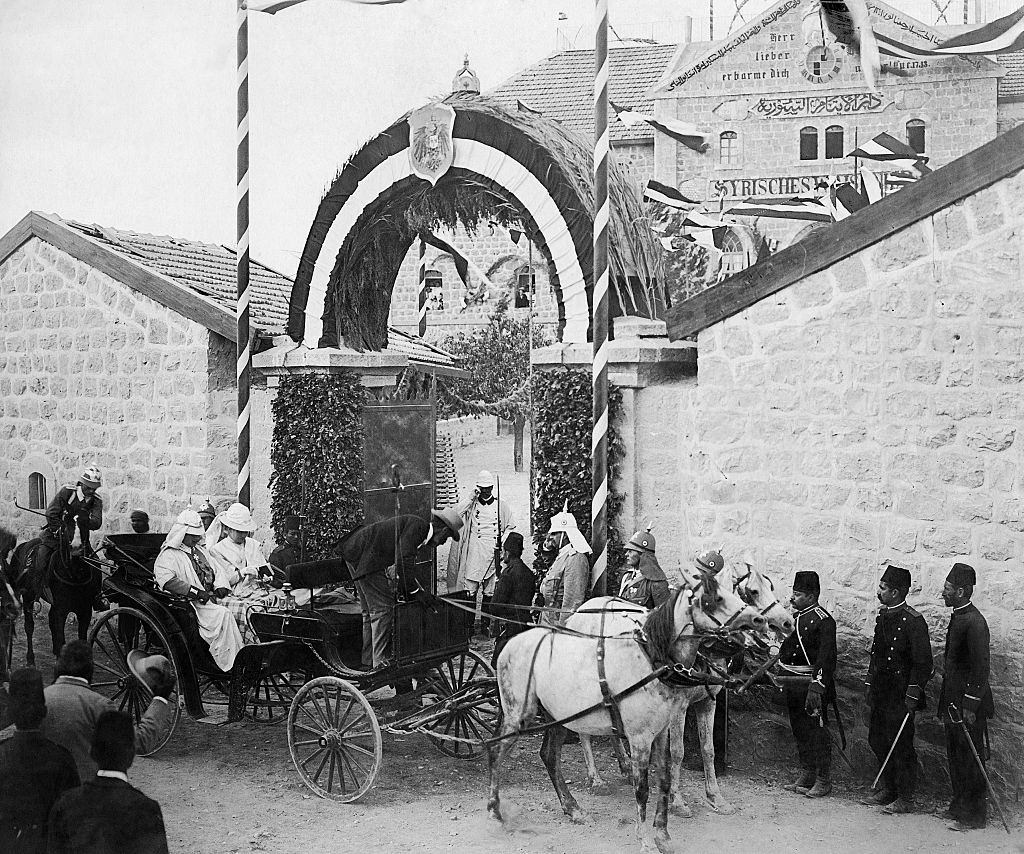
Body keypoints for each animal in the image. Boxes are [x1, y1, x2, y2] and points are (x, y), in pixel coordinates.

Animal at [0, 520, 102, 663]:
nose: (76, 549)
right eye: (66, 526)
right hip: (28, 597)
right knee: (29, 626)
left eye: (86, 524)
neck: (75, 576)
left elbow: (81, 639)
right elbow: (60, 638)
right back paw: (30, 659)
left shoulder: (85, 611)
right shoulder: (61, 611)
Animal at [487, 573, 770, 851]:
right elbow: (642, 788)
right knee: (496, 750)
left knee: (549, 756)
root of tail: (511, 644)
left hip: (558, 717)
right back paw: (494, 812)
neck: (652, 661)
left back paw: (573, 809)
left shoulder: (662, 732)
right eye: (715, 598)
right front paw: (645, 839)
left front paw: (663, 836)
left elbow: (665, 778)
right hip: (519, 715)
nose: (759, 619)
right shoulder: (640, 737)